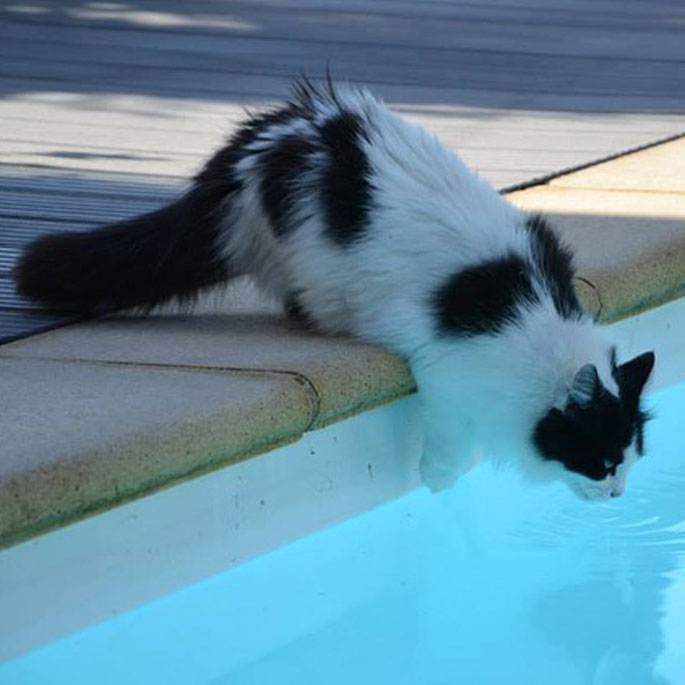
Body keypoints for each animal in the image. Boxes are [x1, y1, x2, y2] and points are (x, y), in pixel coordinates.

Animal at [16, 77, 656, 500]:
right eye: (601, 462)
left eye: (631, 457)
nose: (620, 494)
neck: (539, 323)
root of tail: (273, 134)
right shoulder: (450, 376)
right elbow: (450, 437)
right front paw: (437, 480)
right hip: (312, 254)